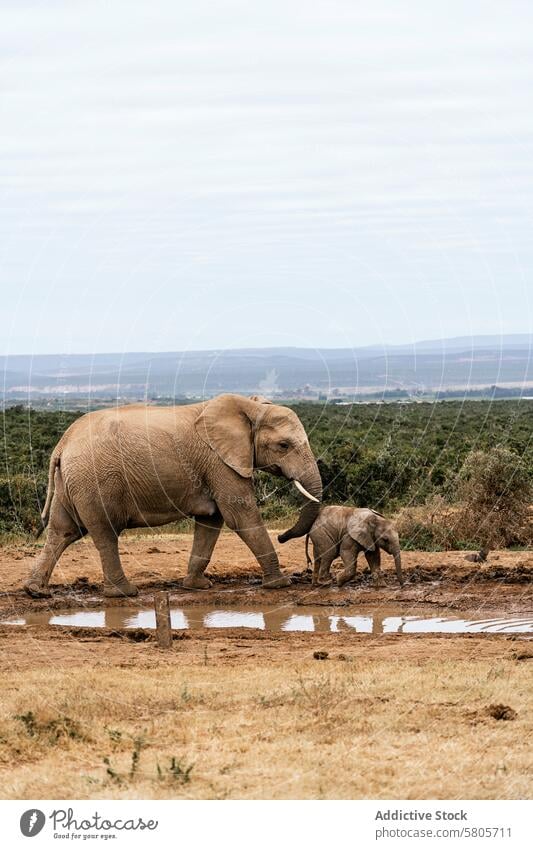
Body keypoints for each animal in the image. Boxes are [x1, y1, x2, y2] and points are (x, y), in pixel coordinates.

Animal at [23, 396, 320, 600]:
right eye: (283, 445)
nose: (282, 537)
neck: (249, 406)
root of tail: (62, 444)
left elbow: (211, 521)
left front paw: (198, 586)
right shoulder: (219, 462)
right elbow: (240, 516)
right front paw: (280, 584)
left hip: (71, 482)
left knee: (63, 531)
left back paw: (35, 591)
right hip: (94, 481)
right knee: (105, 533)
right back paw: (124, 593)